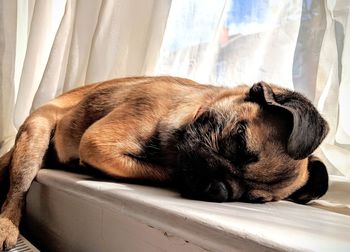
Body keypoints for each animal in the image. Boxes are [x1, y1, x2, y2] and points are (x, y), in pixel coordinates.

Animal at [0, 76, 328, 249]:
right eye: (237, 140)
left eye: (251, 199)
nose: (221, 190)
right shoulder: (99, 142)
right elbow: (163, 170)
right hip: (36, 135)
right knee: (17, 189)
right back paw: (7, 226)